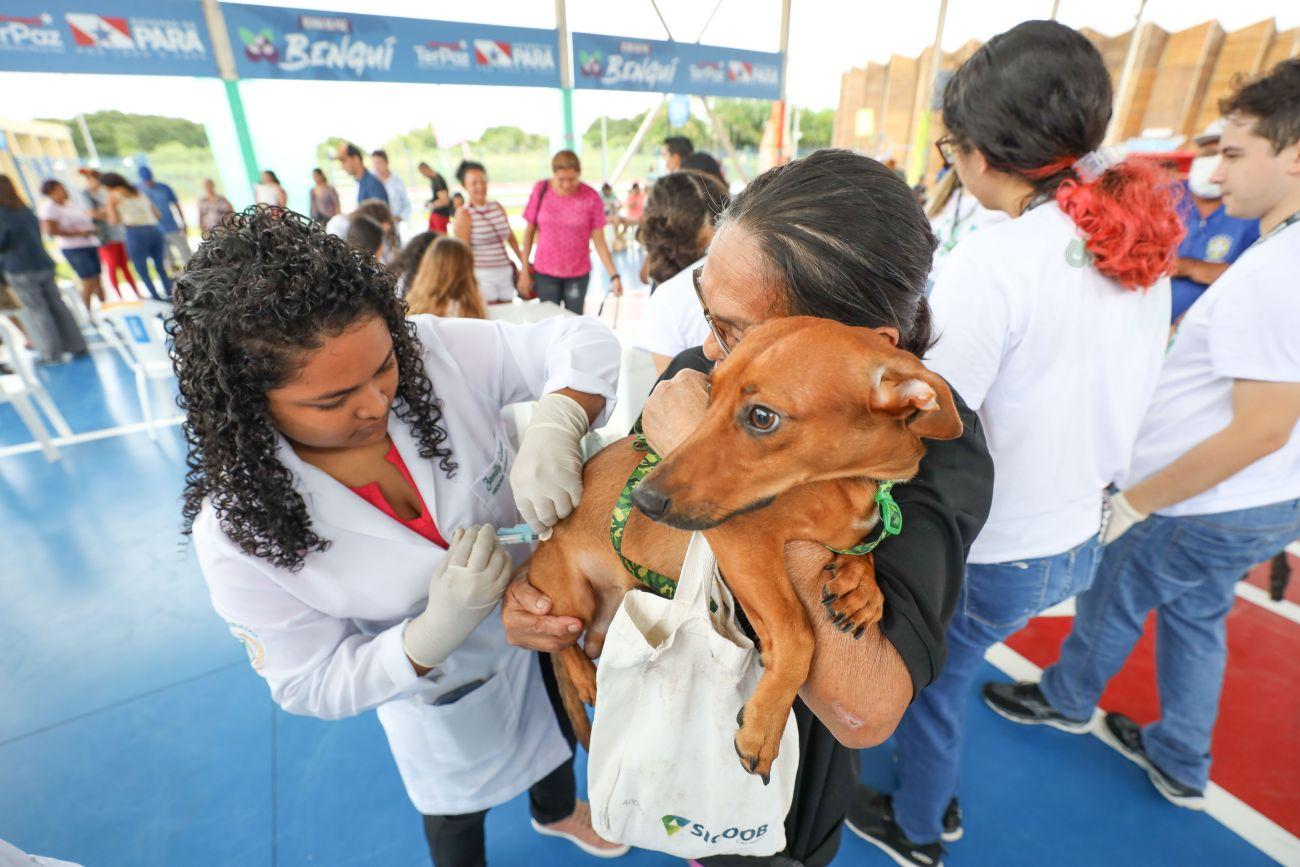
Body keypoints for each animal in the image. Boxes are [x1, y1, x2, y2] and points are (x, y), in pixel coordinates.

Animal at [522, 315, 961, 785]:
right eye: (710, 393)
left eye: (762, 417)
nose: (643, 500)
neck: (845, 483)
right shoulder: (744, 540)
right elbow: (798, 632)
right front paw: (765, 726)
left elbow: (862, 553)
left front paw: (861, 587)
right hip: (572, 595)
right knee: (559, 639)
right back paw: (584, 677)